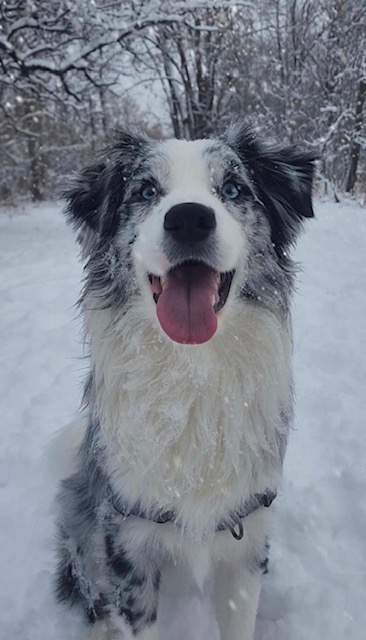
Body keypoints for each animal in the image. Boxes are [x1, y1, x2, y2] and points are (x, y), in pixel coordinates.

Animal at [55, 125, 316, 640]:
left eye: (233, 189)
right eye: (145, 191)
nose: (190, 219)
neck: (191, 373)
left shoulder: (246, 535)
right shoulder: (126, 545)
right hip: (82, 527)